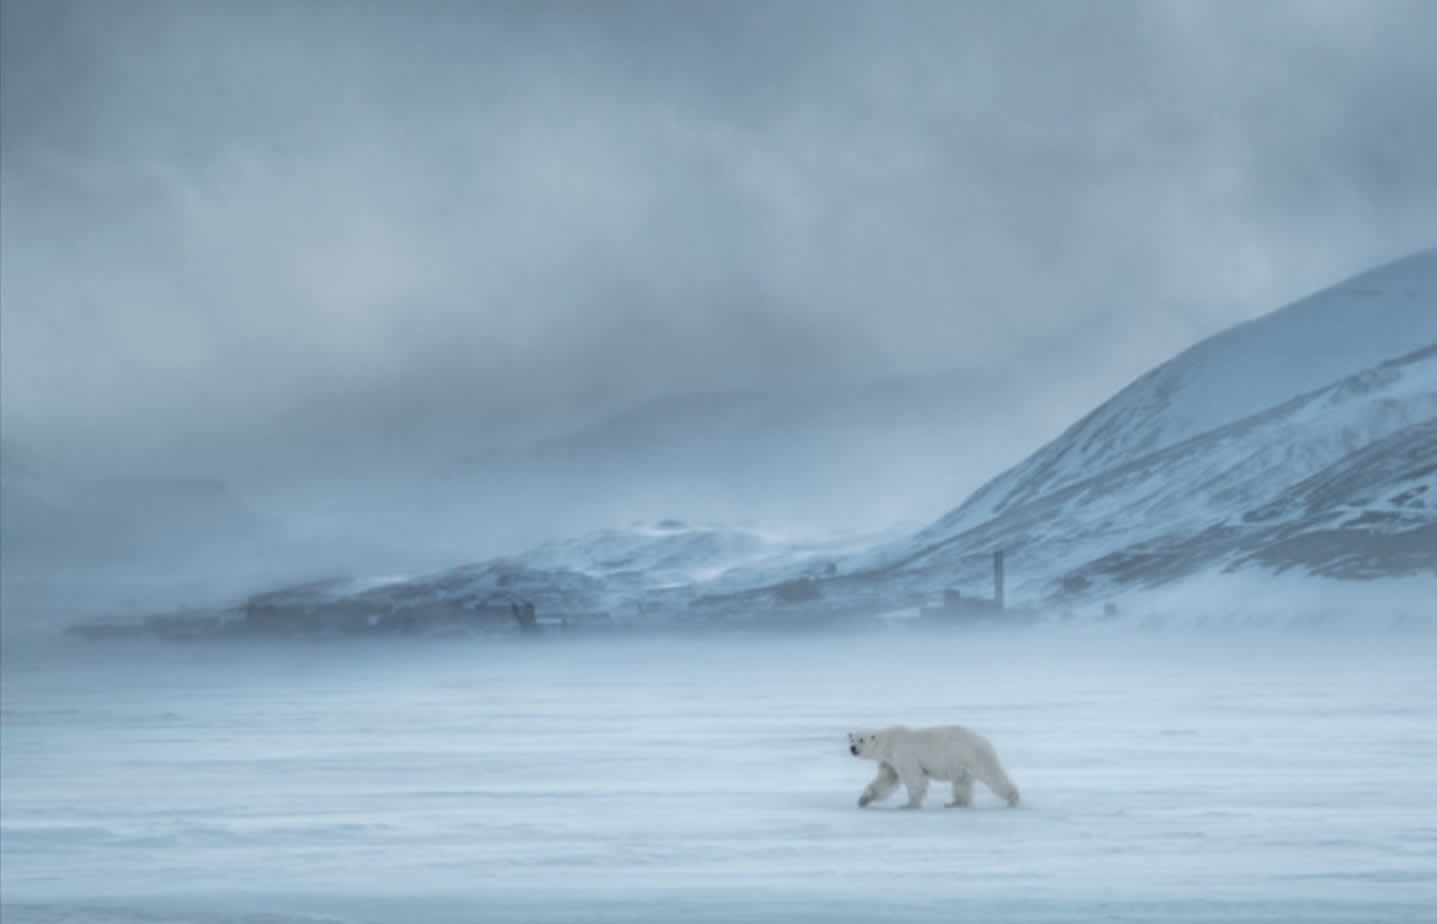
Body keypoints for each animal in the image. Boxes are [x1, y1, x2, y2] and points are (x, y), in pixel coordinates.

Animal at [850, 724, 1023, 810]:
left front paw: (909, 804)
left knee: (992, 774)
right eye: (851, 739)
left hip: (973, 755)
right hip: (962, 764)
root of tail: (984, 740)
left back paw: (1013, 798)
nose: (853, 749)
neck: (889, 742)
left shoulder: (905, 755)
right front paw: (863, 799)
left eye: (861, 740)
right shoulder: (890, 762)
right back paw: (955, 803)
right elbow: (885, 781)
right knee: (962, 784)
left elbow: (915, 779)